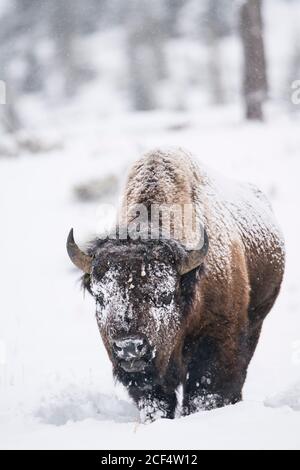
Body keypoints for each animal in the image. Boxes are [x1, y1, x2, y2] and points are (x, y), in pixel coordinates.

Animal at [67, 148, 284, 422]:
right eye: (100, 297)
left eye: (165, 295)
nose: (129, 347)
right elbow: (157, 400)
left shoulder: (216, 343)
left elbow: (205, 391)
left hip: (256, 320)